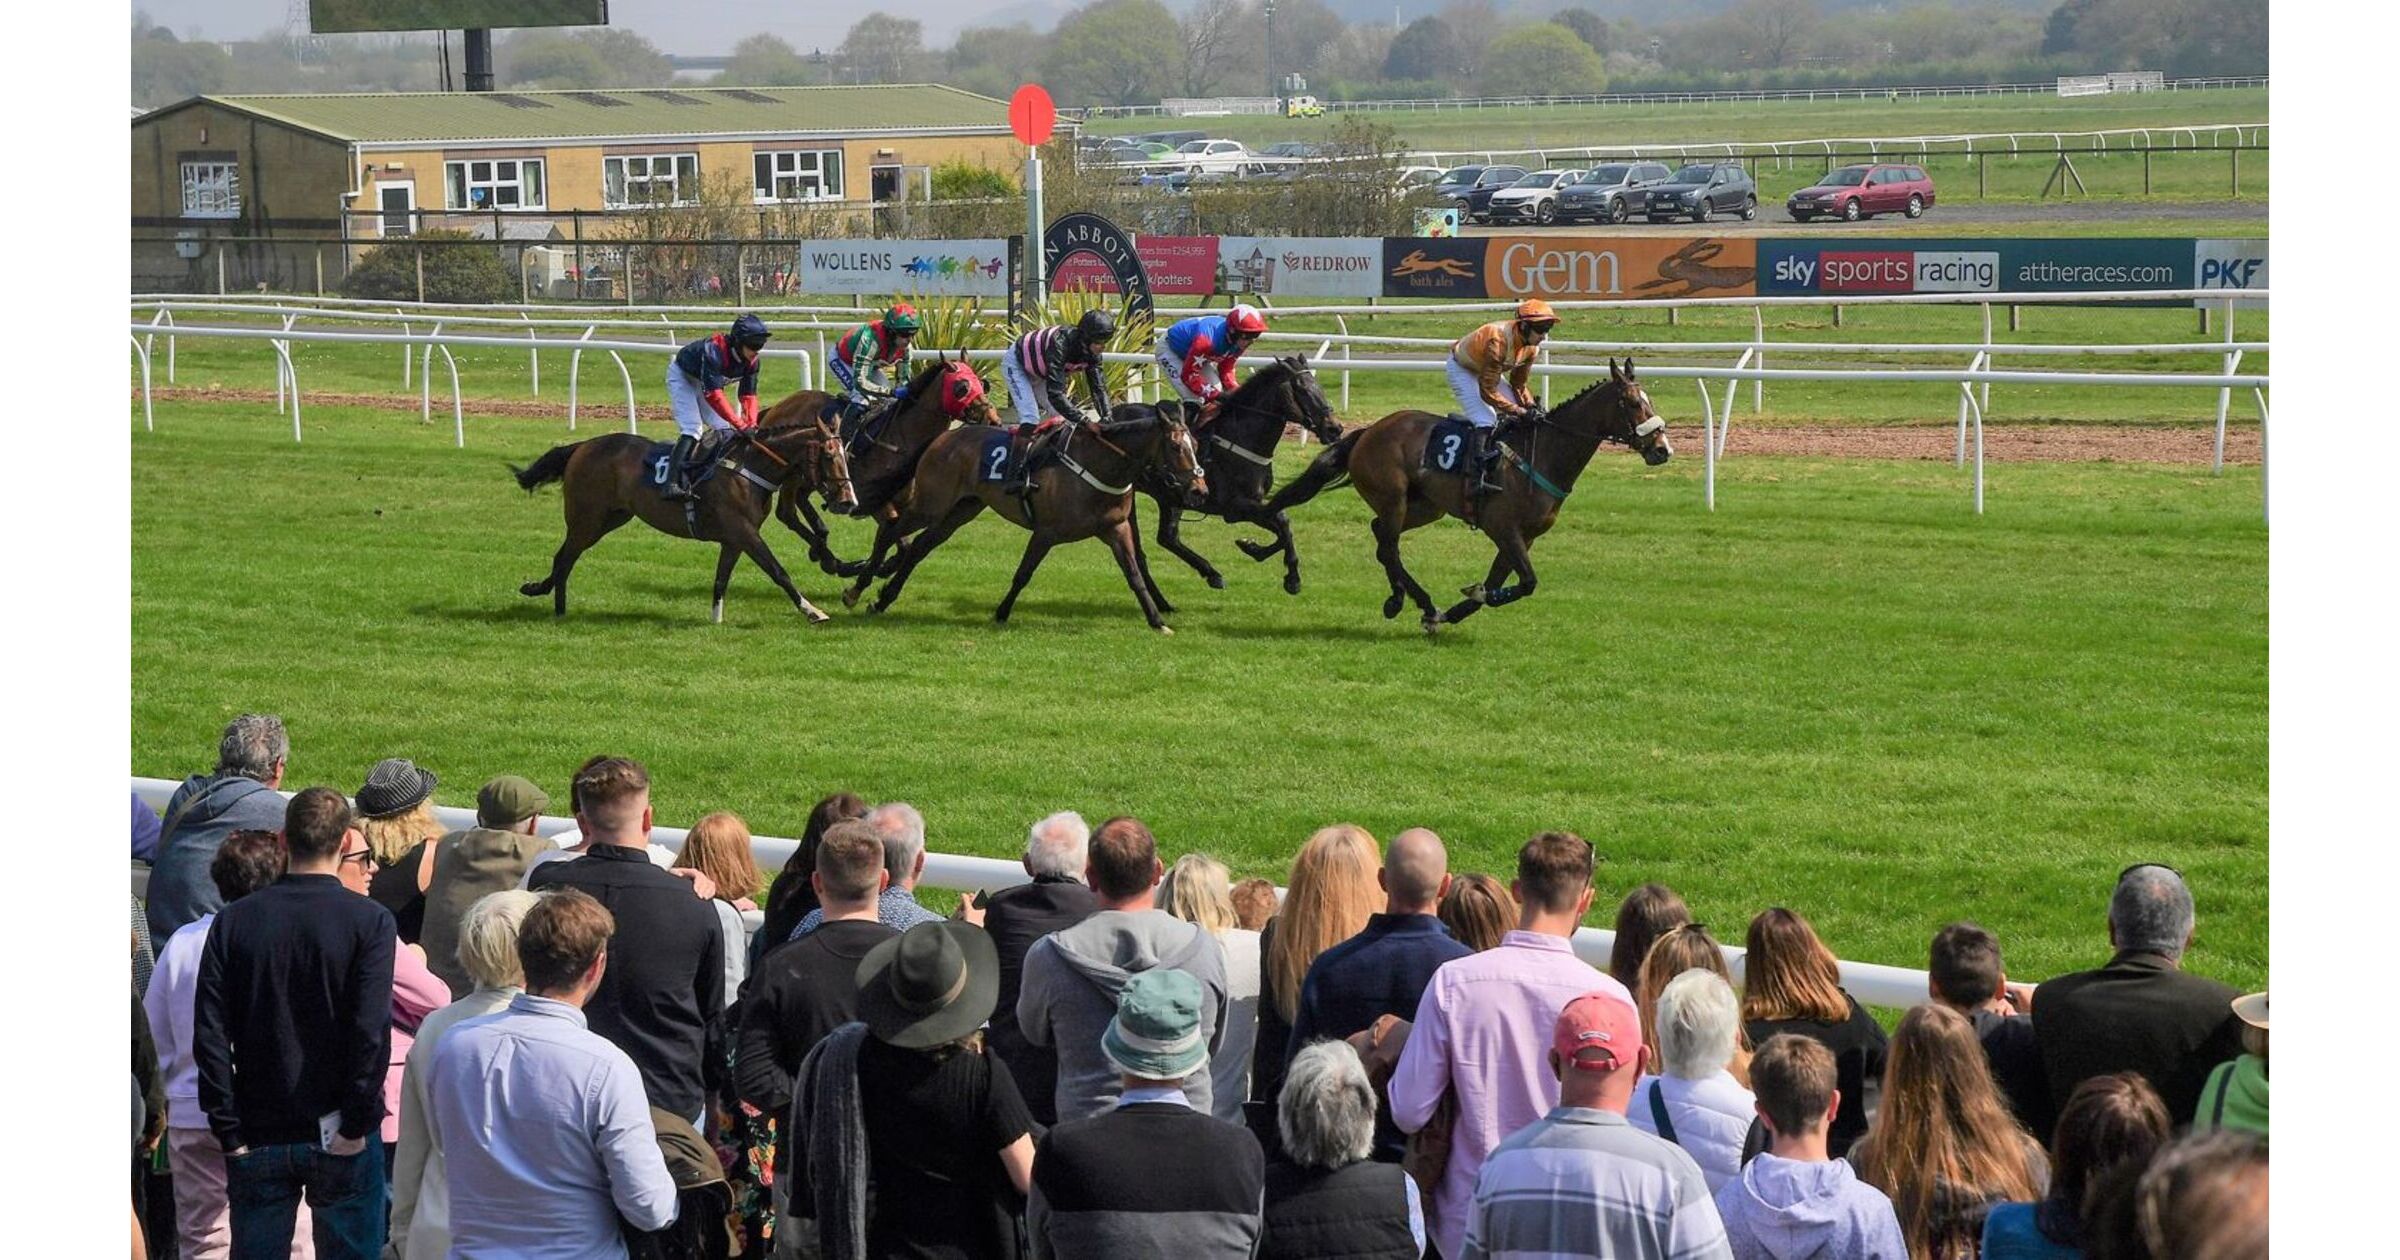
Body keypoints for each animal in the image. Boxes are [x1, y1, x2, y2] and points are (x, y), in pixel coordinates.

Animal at [501, 415, 859, 619]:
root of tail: (583, 445)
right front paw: (811, 610)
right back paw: (556, 606)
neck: (749, 468)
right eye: (829, 455)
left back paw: (545, 595)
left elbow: (721, 580)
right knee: (564, 557)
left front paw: (715, 619)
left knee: (565, 557)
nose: (848, 500)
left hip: (611, 518)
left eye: (847, 454)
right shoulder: (744, 532)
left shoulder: (734, 539)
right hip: (586, 519)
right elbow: (778, 571)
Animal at [763, 355, 998, 578]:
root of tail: (778, 406)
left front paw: (882, 566)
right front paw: (876, 567)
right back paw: (831, 559)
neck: (901, 439)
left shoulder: (907, 503)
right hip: (793, 473)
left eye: (982, 384)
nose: (993, 418)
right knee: (787, 512)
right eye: (962, 386)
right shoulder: (871, 502)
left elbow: (902, 544)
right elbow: (899, 540)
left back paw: (825, 550)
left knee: (798, 502)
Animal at [849, 408, 1219, 633]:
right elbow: (1023, 574)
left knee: (921, 547)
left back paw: (884, 598)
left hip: (961, 510)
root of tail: (942, 437)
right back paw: (857, 590)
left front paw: (1157, 620)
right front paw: (1001, 613)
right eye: (1176, 447)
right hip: (931, 504)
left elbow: (1134, 575)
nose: (1199, 490)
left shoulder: (1116, 528)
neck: (1100, 466)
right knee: (892, 531)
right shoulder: (1046, 532)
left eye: (1195, 443)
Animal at [1128, 350, 1353, 602]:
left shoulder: (1251, 504)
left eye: (1319, 386)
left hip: (1169, 497)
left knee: (1167, 537)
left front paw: (1255, 550)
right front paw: (1290, 576)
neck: (1243, 435)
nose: (1335, 429)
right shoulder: (1235, 507)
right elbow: (1283, 522)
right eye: (1302, 389)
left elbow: (1283, 527)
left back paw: (1211, 574)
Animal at [1267, 355, 1680, 633]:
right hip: (1393, 497)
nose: (1662, 450)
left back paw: (1420, 604)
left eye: (1651, 401)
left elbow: (1503, 581)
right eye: (1632, 403)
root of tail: (1369, 430)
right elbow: (1526, 583)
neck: (1544, 453)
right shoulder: (1504, 528)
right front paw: (1473, 595)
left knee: (1380, 536)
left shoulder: (1525, 536)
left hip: (1427, 506)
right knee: (1388, 546)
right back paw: (1405, 600)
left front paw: (1456, 609)